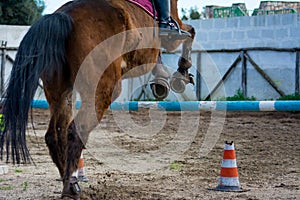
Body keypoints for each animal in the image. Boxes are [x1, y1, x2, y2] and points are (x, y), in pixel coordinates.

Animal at [0, 0, 195, 198]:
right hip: (102, 90)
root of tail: (64, 16)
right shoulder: (172, 36)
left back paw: (70, 182)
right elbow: (190, 33)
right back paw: (70, 189)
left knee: (55, 135)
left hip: (60, 93)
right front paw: (181, 74)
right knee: (76, 131)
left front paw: (162, 80)